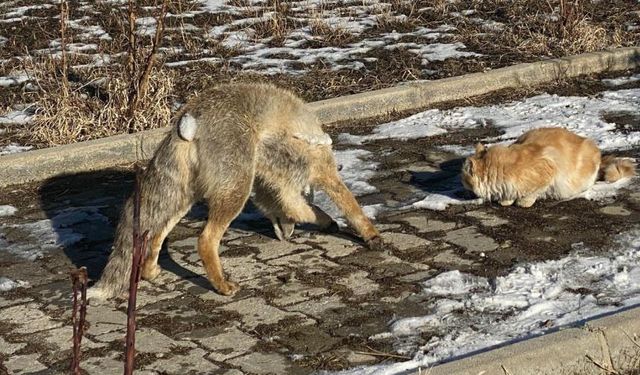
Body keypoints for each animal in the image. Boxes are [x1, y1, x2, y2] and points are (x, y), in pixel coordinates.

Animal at [87, 83, 382, 302]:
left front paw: (322, 220)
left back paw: (150, 271)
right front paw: (369, 234)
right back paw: (222, 285)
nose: (286, 236)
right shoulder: (317, 172)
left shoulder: (274, 179)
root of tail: (189, 118)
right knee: (205, 240)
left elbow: (299, 207)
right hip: (236, 190)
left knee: (157, 233)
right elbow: (346, 206)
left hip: (186, 197)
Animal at [460, 128, 636, 207]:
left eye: (464, 180)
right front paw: (507, 200)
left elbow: (531, 194)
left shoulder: (548, 170)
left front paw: (522, 201)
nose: (462, 185)